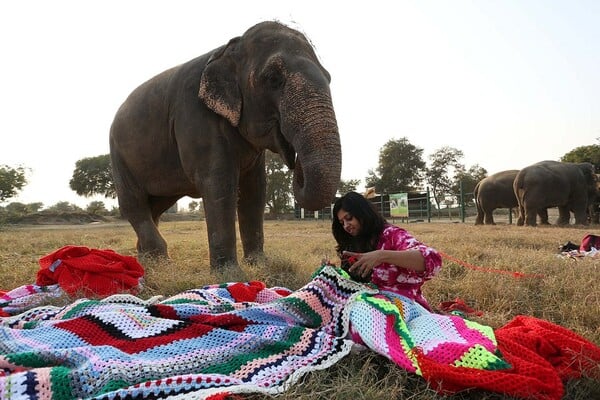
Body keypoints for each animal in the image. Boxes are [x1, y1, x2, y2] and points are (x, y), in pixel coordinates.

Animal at [109, 20, 342, 268]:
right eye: (273, 78)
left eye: (329, 77)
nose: (296, 166)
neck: (228, 49)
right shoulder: (196, 118)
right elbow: (219, 183)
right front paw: (230, 272)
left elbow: (255, 188)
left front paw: (258, 265)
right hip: (118, 156)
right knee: (132, 202)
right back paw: (160, 261)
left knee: (156, 206)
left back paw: (148, 260)